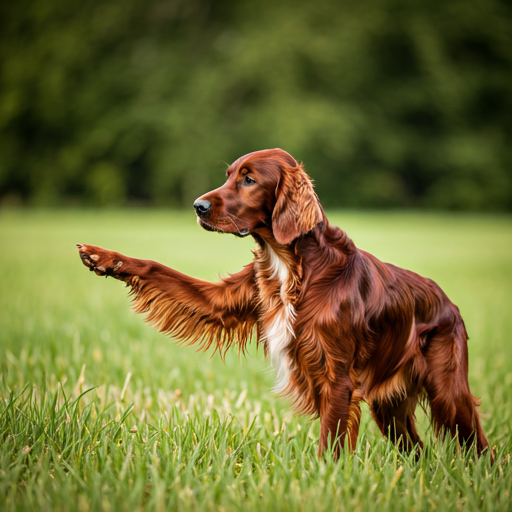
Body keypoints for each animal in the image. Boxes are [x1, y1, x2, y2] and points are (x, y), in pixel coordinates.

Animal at [78, 148, 490, 460]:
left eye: (249, 179)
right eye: (228, 175)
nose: (198, 206)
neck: (292, 263)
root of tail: (449, 303)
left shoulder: (338, 377)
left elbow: (331, 442)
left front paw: (327, 478)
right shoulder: (225, 299)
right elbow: (157, 269)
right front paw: (103, 257)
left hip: (448, 393)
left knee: (479, 444)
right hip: (391, 409)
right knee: (418, 450)